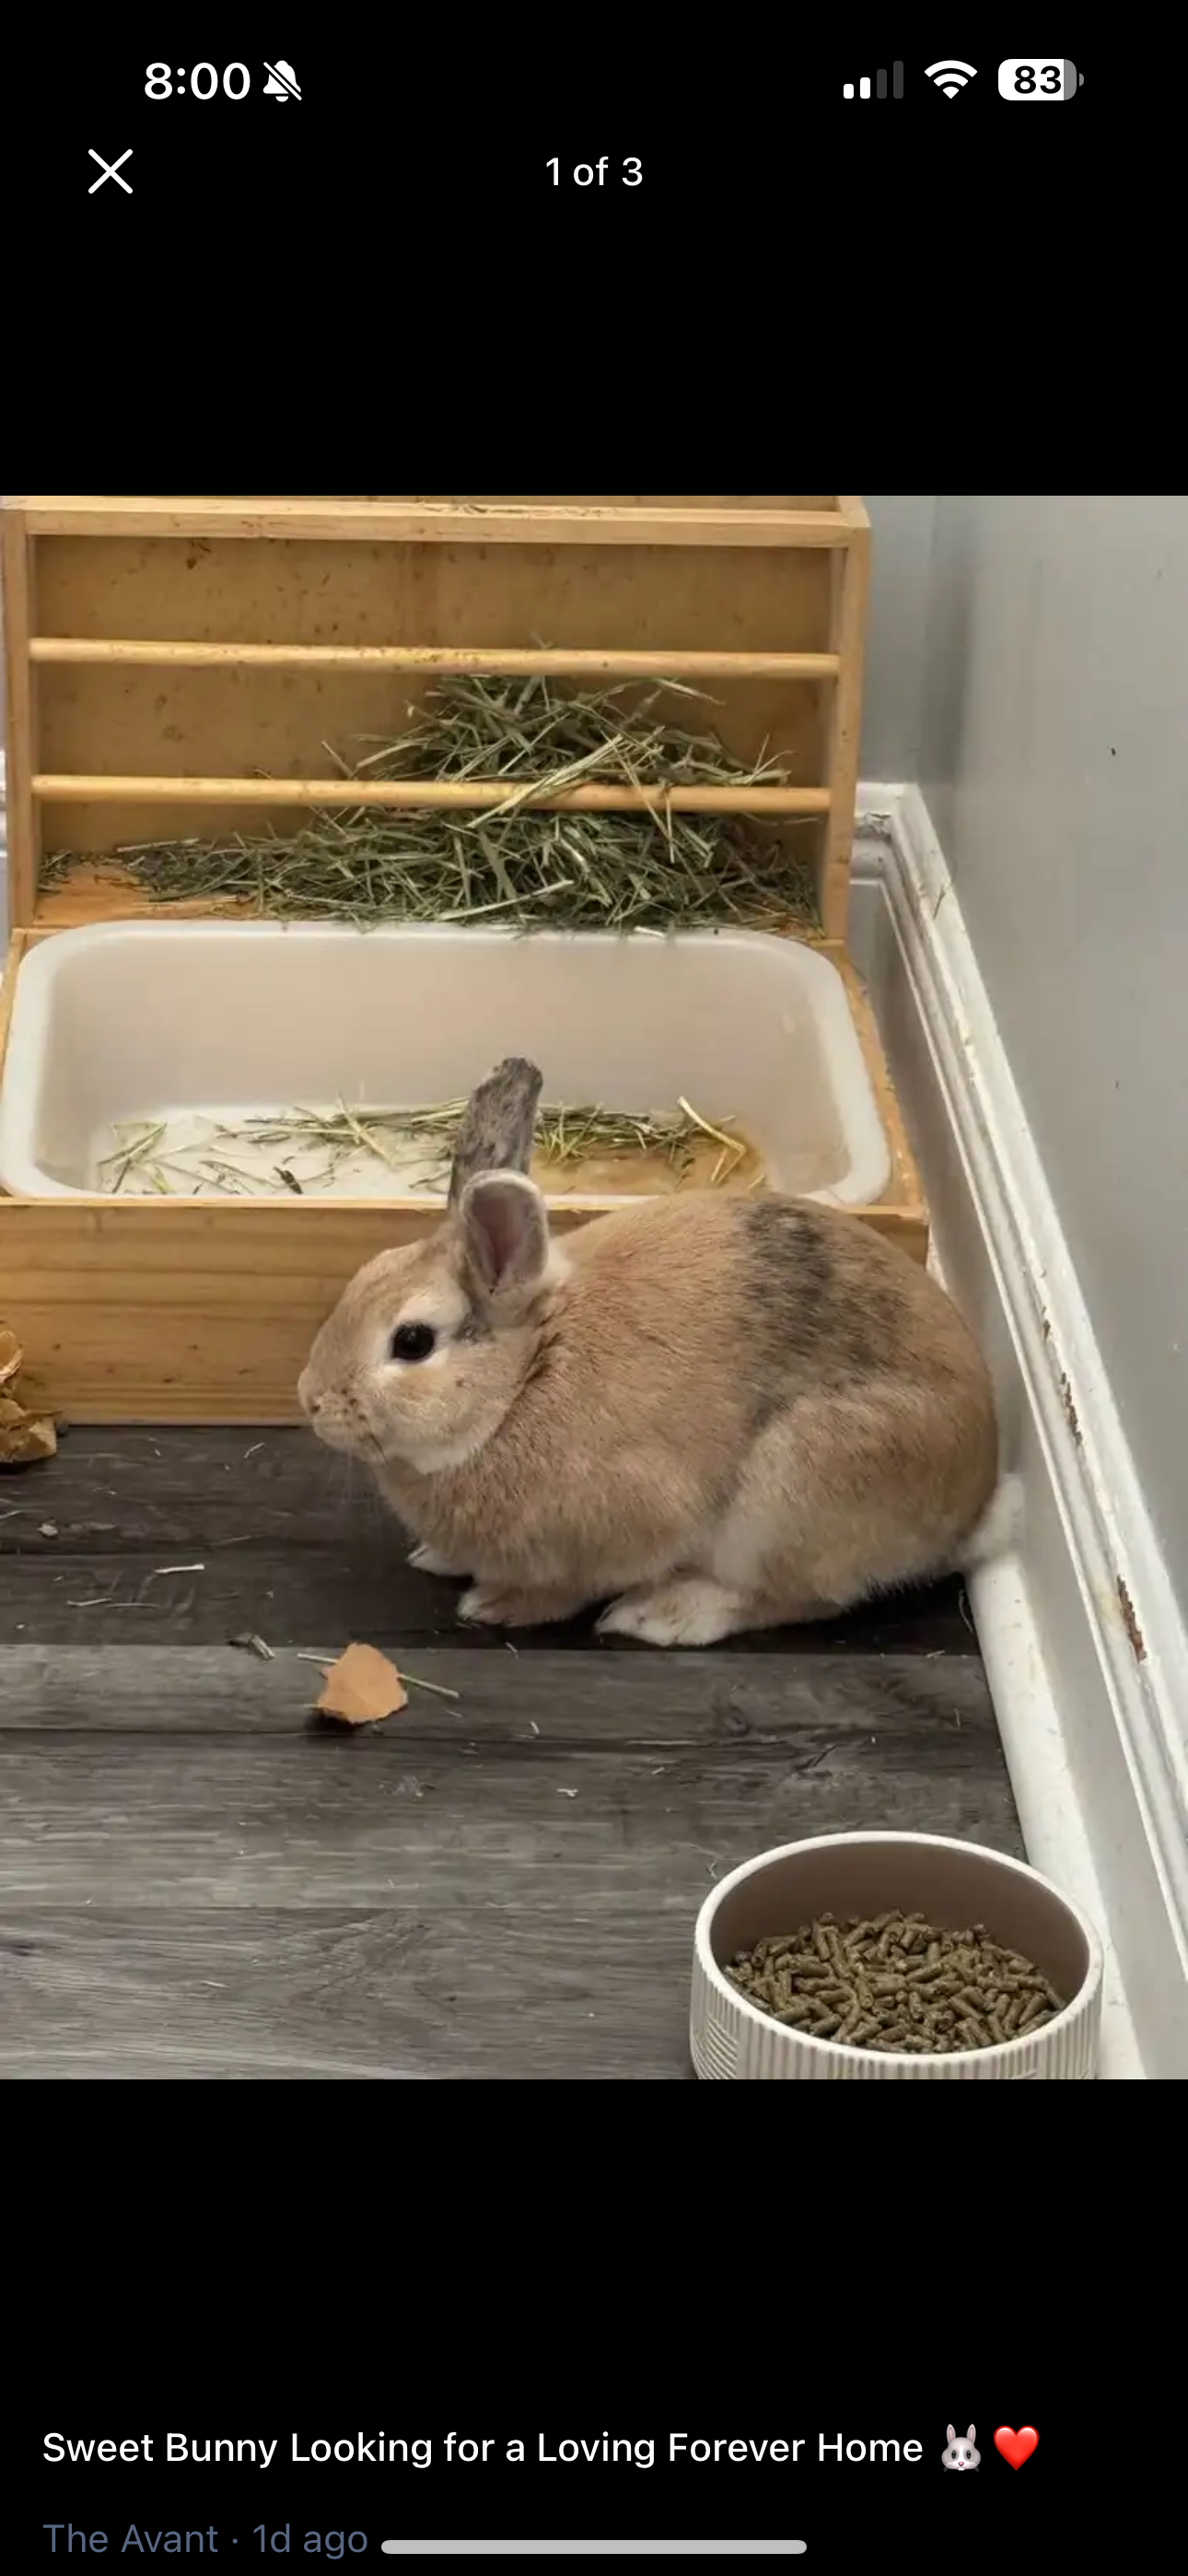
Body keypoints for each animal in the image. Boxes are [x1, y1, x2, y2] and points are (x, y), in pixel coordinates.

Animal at [298, 1055, 1000, 1647]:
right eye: (365, 1273)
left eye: (412, 1342)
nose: (311, 1400)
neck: (522, 1382)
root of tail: (970, 1503)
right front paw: (436, 1558)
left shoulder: (617, 1534)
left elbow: (566, 1589)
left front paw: (497, 1604)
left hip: (790, 1496)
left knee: (790, 1598)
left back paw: (662, 1616)